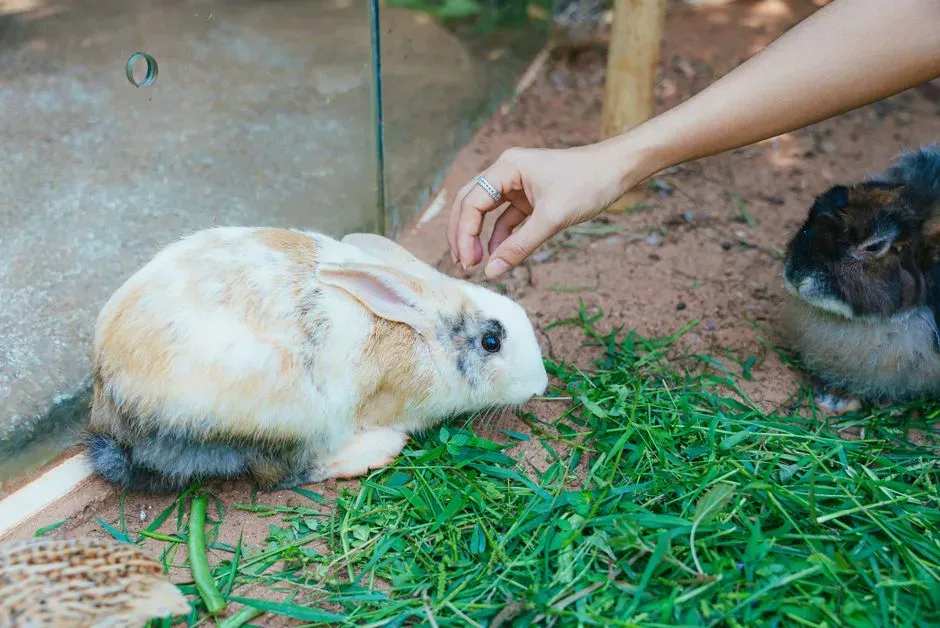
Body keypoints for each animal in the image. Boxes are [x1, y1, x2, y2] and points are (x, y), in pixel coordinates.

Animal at [85, 227, 549, 493]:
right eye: (491, 341)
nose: (542, 385)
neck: (424, 339)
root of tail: (115, 414)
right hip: (291, 419)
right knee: (280, 476)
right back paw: (377, 450)